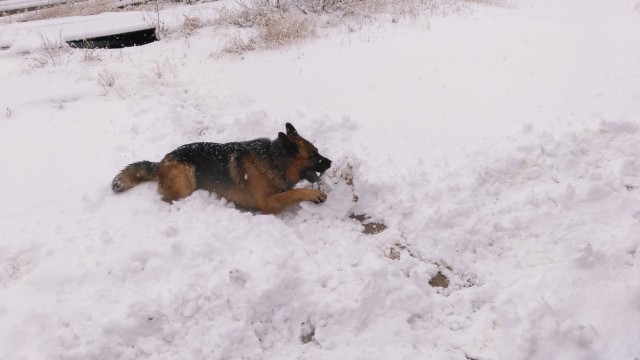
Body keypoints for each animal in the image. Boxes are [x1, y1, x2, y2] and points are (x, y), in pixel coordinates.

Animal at [112, 124, 332, 214]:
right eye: (313, 156)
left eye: (317, 152)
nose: (330, 162)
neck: (273, 162)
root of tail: (161, 161)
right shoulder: (267, 202)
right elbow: (293, 192)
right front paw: (314, 194)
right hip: (186, 179)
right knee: (167, 198)